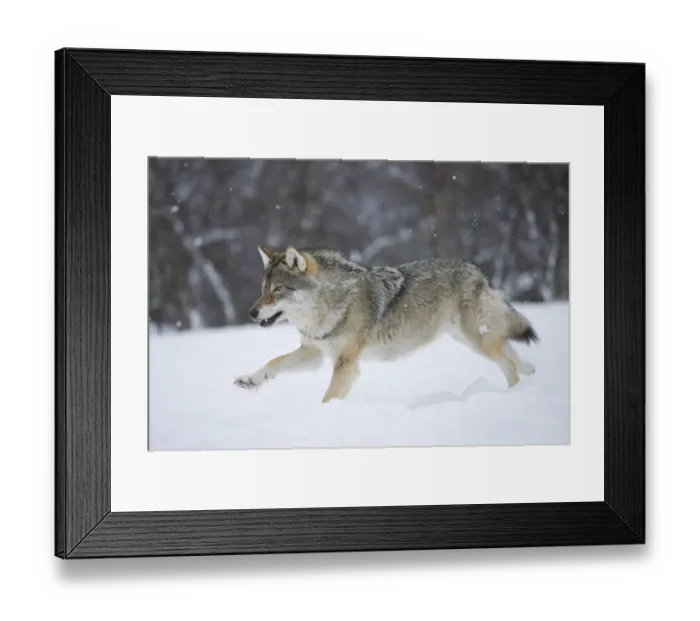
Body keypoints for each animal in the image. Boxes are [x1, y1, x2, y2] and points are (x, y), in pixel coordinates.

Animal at [234, 246, 538, 403]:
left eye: (278, 290)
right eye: (262, 289)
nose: (252, 312)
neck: (330, 303)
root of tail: (478, 271)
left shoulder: (345, 363)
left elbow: (329, 396)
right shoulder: (314, 352)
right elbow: (275, 362)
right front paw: (250, 380)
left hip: (477, 339)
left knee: (509, 365)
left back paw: (512, 396)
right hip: (473, 339)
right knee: (514, 356)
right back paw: (530, 375)